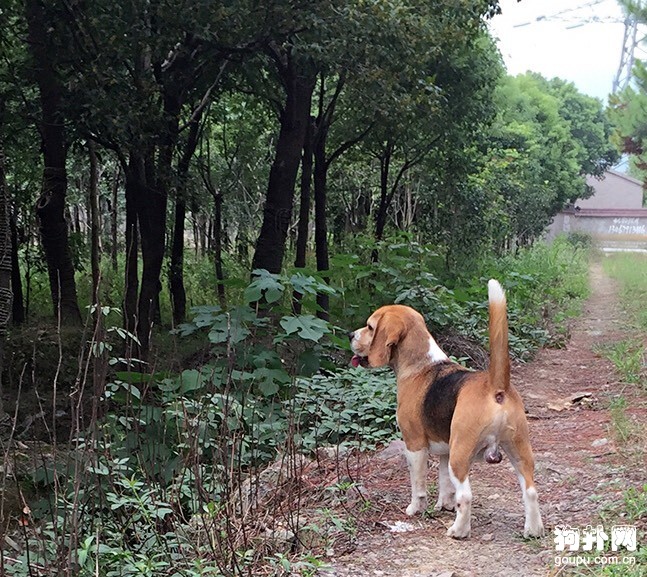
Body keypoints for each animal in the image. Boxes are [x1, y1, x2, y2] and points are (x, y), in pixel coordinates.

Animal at [352, 282, 544, 536]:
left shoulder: (414, 444)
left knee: (467, 495)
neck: (422, 365)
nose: (350, 335)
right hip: (518, 450)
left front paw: (415, 508)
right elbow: (444, 484)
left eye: (370, 327)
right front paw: (444, 505)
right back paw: (533, 530)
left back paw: (459, 531)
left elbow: (418, 484)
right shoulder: (444, 450)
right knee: (530, 491)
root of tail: (495, 386)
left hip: (460, 454)